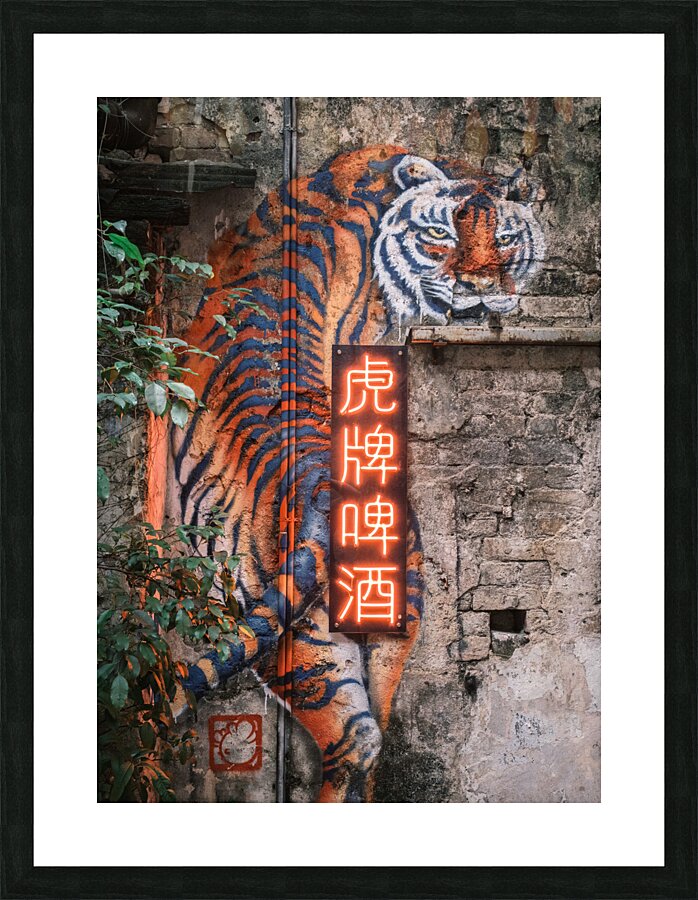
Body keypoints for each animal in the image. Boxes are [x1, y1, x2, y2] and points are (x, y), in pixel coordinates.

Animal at [168, 145, 545, 802]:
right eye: (439, 234)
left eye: (503, 236)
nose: (475, 292)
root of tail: (324, 484)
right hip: (366, 632)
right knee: (366, 740)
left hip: (316, 639)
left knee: (354, 742)